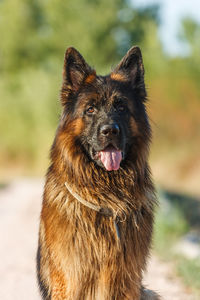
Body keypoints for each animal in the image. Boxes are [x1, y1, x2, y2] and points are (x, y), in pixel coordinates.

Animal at [36, 45, 160, 298]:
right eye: (90, 109)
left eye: (121, 107)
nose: (109, 130)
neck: (106, 195)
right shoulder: (69, 280)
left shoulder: (127, 281)